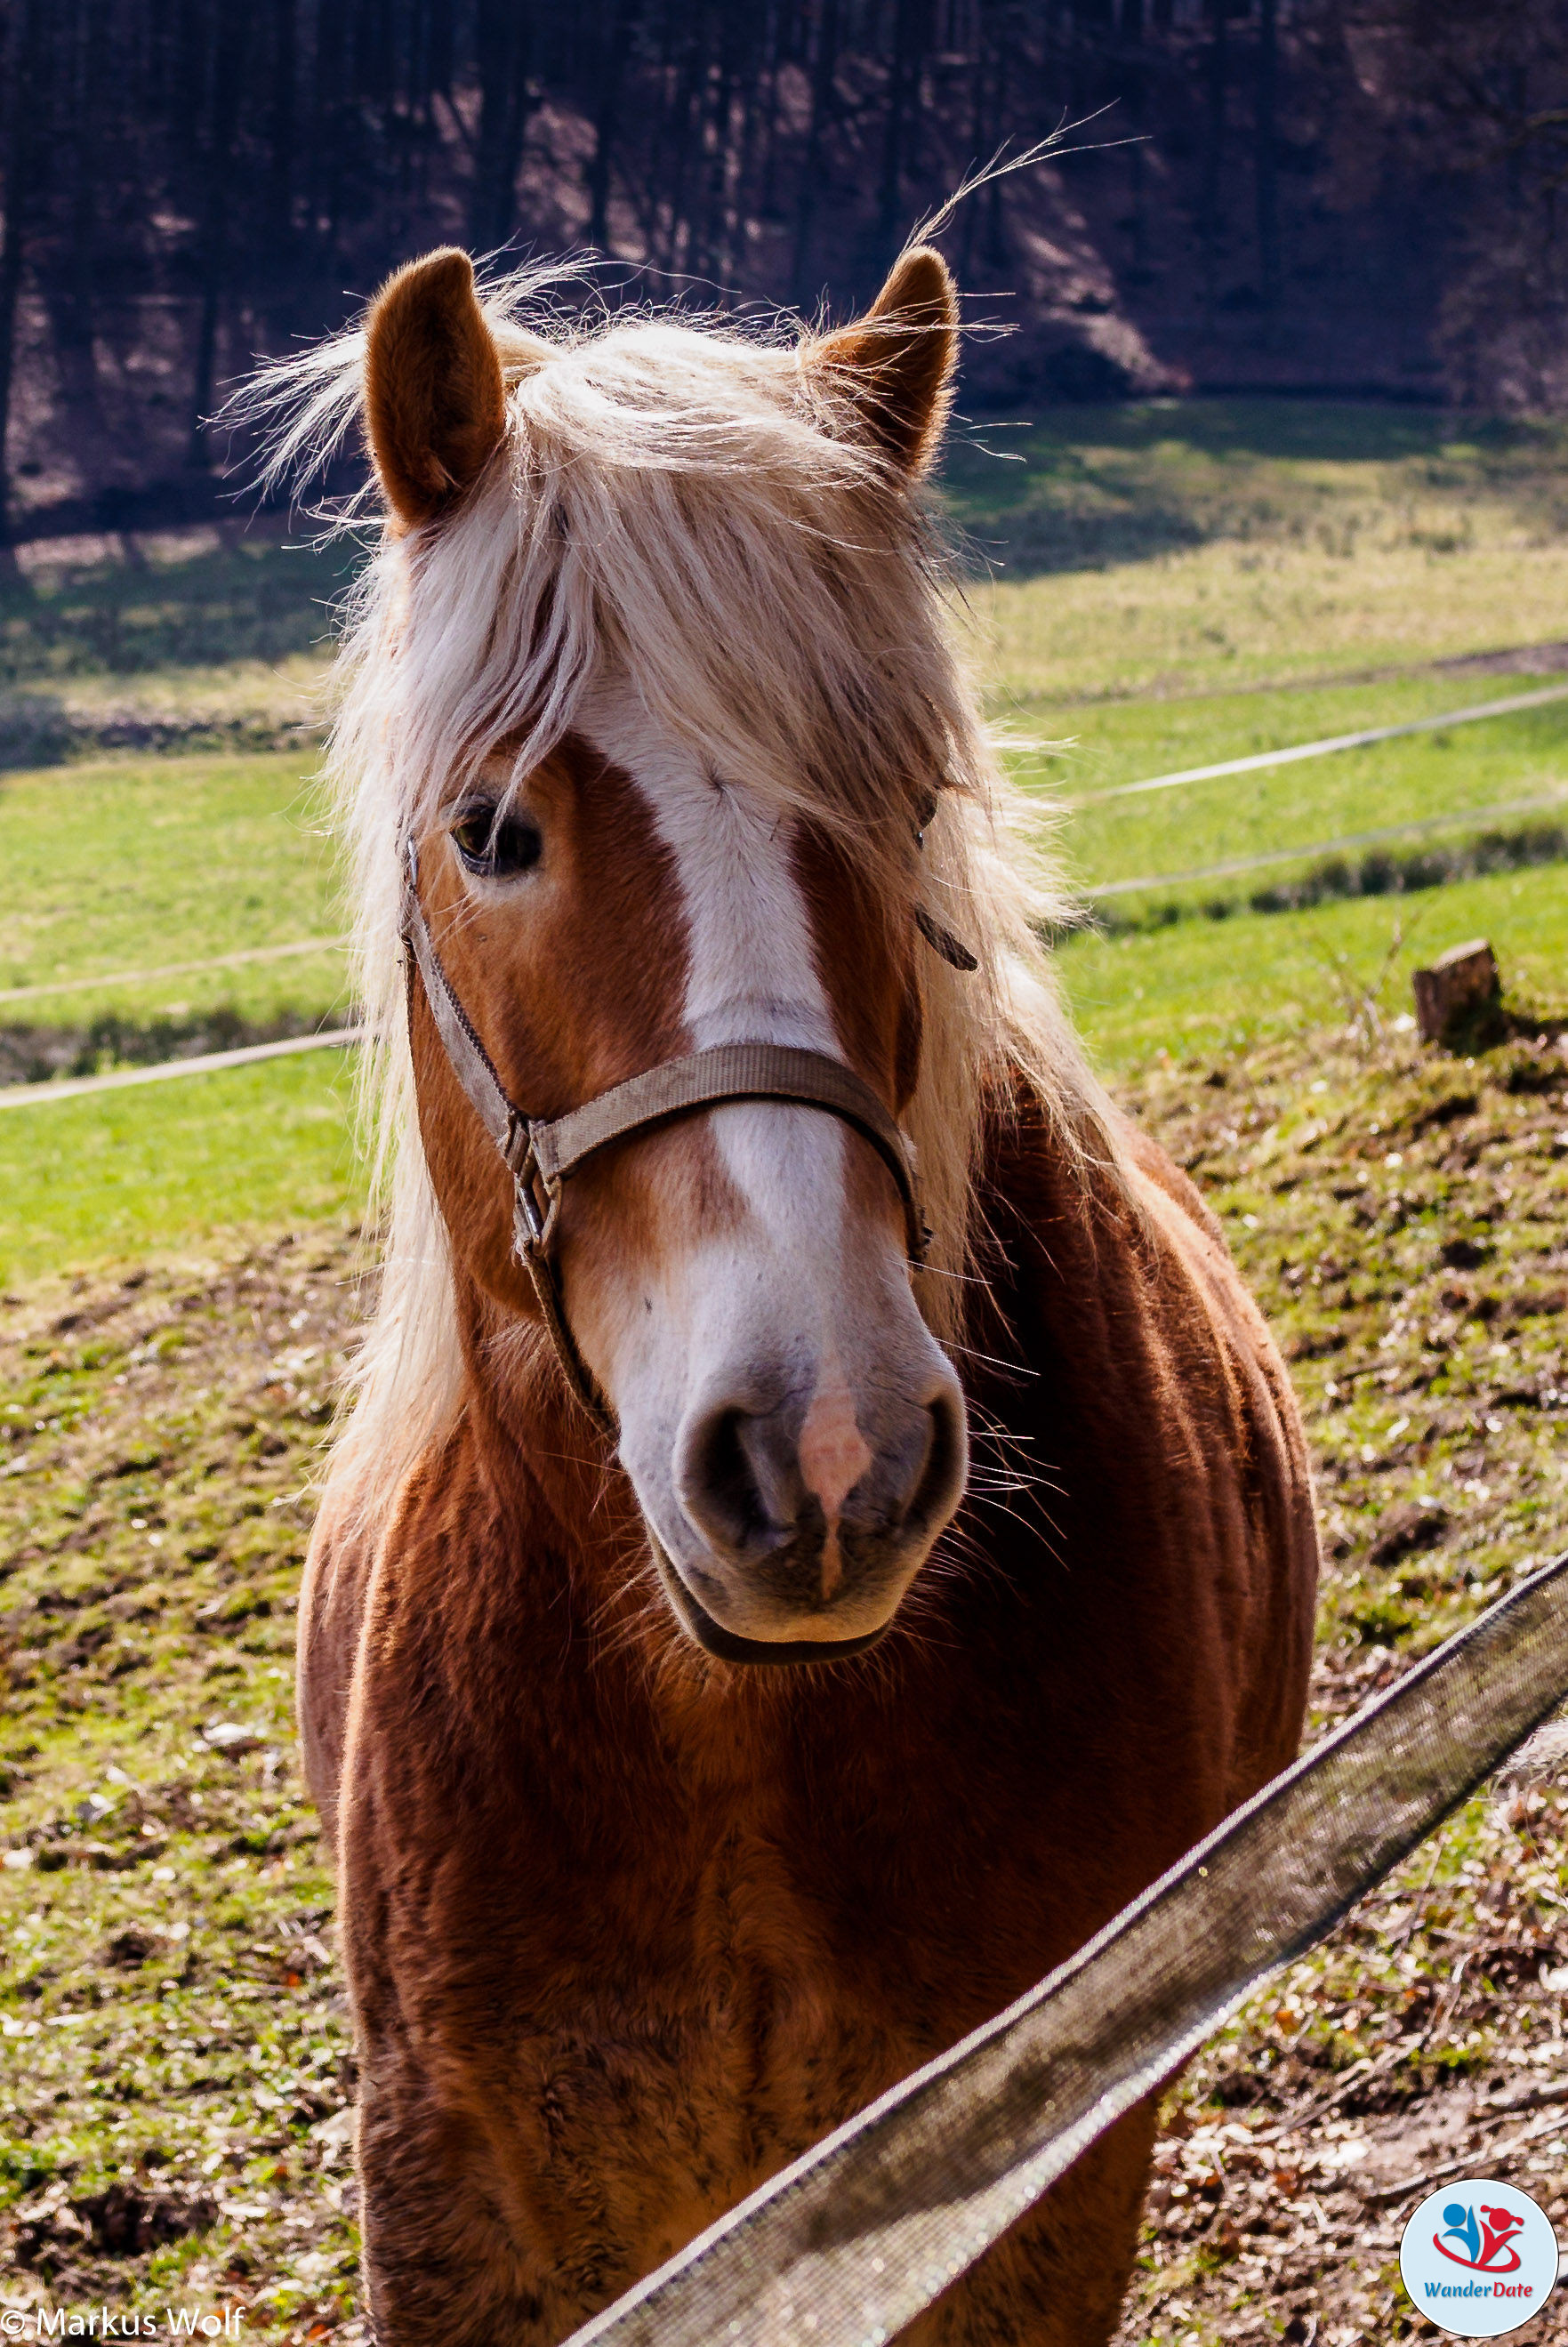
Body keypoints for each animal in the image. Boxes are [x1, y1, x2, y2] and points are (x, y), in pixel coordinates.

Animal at [262, 243, 1314, 2347]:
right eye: (490, 829)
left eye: (905, 804)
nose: (824, 1447)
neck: (724, 1748)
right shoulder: (455, 2200)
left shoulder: (1030, 2180)